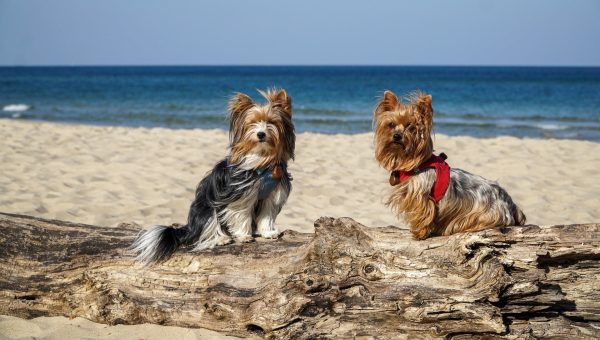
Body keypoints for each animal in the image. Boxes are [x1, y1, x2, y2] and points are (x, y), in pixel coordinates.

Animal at [134, 87, 298, 262]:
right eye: (252, 123)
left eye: (271, 122)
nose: (261, 134)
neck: (262, 160)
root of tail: (189, 228)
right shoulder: (240, 195)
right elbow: (241, 215)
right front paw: (244, 236)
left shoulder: (272, 194)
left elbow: (267, 214)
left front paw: (268, 233)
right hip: (207, 208)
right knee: (207, 229)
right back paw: (221, 238)